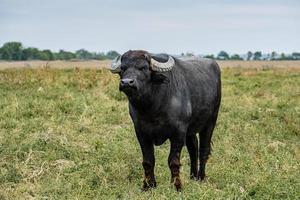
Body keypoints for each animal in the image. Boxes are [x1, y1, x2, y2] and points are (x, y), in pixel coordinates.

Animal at [109, 50, 220, 191]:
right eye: (123, 69)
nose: (127, 82)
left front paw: (177, 186)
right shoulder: (141, 132)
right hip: (190, 130)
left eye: (143, 68)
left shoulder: (178, 132)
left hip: (210, 121)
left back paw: (201, 177)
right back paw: (193, 176)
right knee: (193, 148)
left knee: (203, 150)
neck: (152, 107)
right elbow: (148, 161)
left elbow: (173, 161)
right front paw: (148, 185)